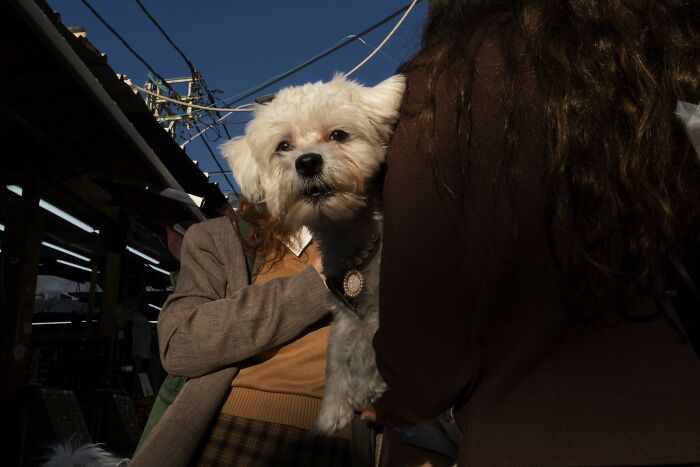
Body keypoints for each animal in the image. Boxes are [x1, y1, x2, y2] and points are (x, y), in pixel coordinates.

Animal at [221, 74, 408, 436]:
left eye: (338, 135)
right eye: (283, 146)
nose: (307, 161)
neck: (352, 241)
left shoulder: (384, 308)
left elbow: (371, 348)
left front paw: (364, 387)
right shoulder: (345, 316)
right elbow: (338, 361)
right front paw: (332, 413)